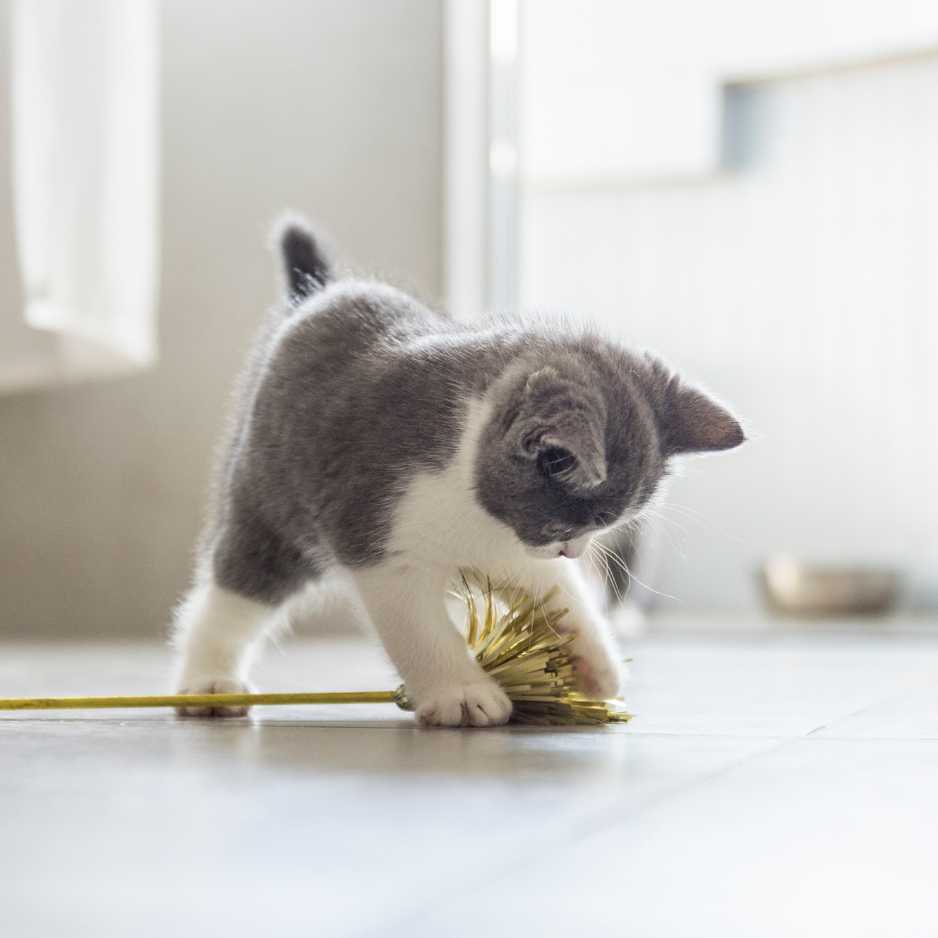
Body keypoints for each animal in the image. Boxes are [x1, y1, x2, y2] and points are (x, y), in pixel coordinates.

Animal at [172, 218, 744, 724]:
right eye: (570, 525)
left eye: (600, 529)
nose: (574, 550)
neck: (467, 495)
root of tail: (322, 293)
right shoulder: (383, 534)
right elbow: (419, 627)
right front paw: (461, 692)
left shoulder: (508, 545)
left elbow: (556, 591)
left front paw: (591, 661)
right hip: (271, 501)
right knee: (234, 588)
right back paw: (209, 682)